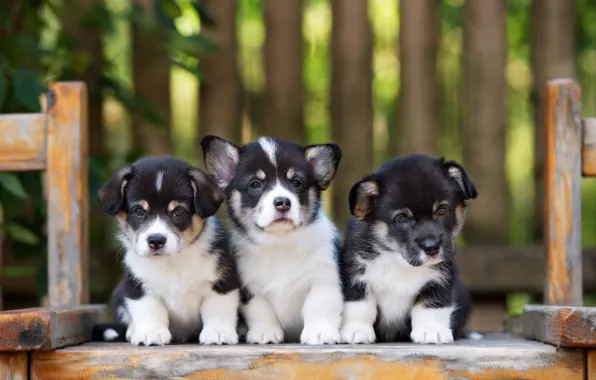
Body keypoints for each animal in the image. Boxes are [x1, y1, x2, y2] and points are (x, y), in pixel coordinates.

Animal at [91, 156, 240, 346]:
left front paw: (218, 332)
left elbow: (218, 309)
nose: (156, 241)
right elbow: (149, 309)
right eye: (138, 211)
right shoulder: (137, 285)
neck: (172, 261)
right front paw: (150, 333)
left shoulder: (223, 282)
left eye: (178, 212)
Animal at [200, 136, 342, 344]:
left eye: (296, 182)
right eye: (255, 184)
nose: (282, 202)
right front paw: (264, 333)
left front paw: (319, 332)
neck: (279, 243)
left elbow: (318, 306)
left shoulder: (324, 279)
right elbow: (261, 311)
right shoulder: (251, 288)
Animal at [340, 154, 480, 344]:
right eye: (402, 218)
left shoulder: (439, 279)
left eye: (442, 210)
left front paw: (431, 331)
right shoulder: (356, 276)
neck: (399, 260)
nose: (432, 248)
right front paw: (356, 331)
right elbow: (360, 305)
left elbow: (431, 305)